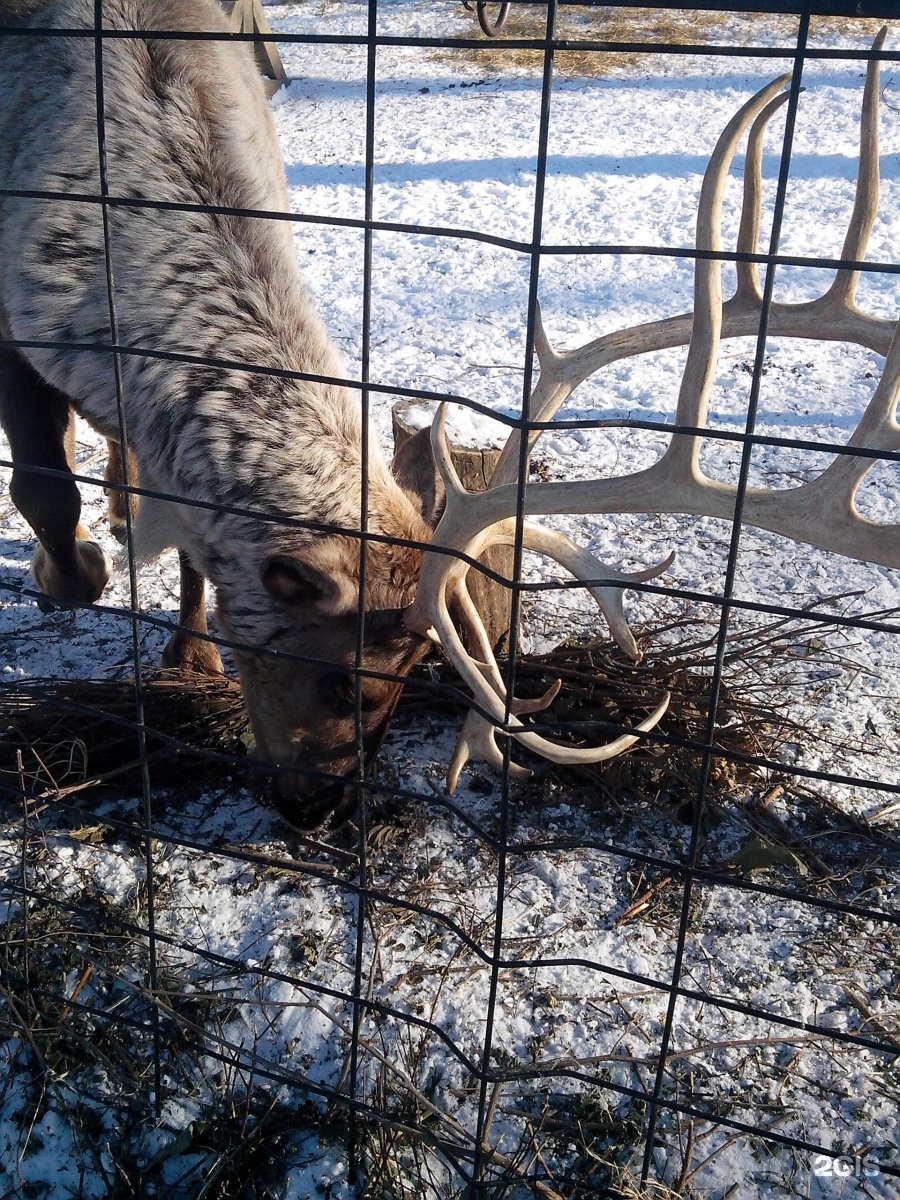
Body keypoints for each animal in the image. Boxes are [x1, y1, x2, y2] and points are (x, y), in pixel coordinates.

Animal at [0, 0, 444, 825]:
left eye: (415, 670)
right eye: (346, 681)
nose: (321, 806)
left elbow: (185, 539)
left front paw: (192, 653)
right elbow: (44, 493)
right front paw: (67, 570)